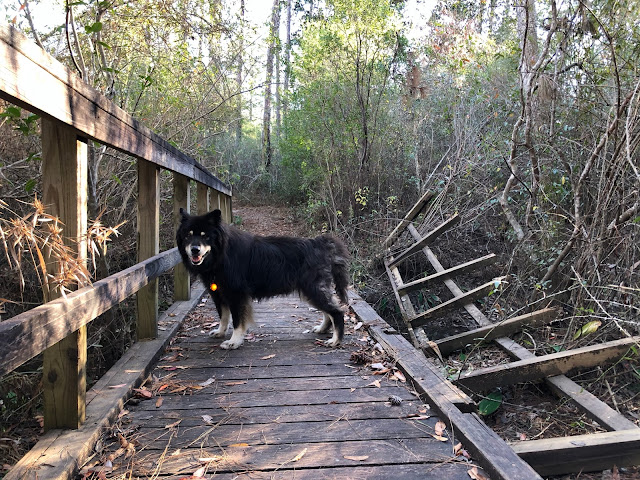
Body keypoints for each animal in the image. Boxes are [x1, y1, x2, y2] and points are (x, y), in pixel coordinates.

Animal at [175, 210, 350, 348]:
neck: (221, 254)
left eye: (205, 237)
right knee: (328, 312)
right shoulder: (218, 294)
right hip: (310, 291)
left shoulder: (236, 295)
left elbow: (237, 321)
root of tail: (322, 244)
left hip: (312, 288)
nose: (195, 250)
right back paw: (322, 329)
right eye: (188, 236)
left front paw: (234, 342)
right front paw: (220, 332)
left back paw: (335, 340)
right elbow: (223, 316)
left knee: (337, 312)